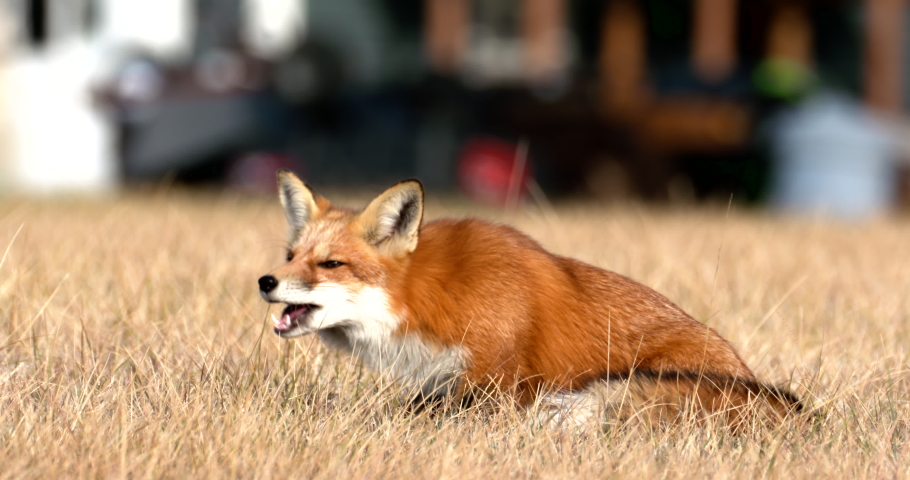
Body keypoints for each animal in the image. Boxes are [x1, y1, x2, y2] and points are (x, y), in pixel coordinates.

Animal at [258, 170, 802, 428]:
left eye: (331, 264)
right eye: (291, 256)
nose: (266, 281)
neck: (434, 299)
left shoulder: (495, 382)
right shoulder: (440, 383)